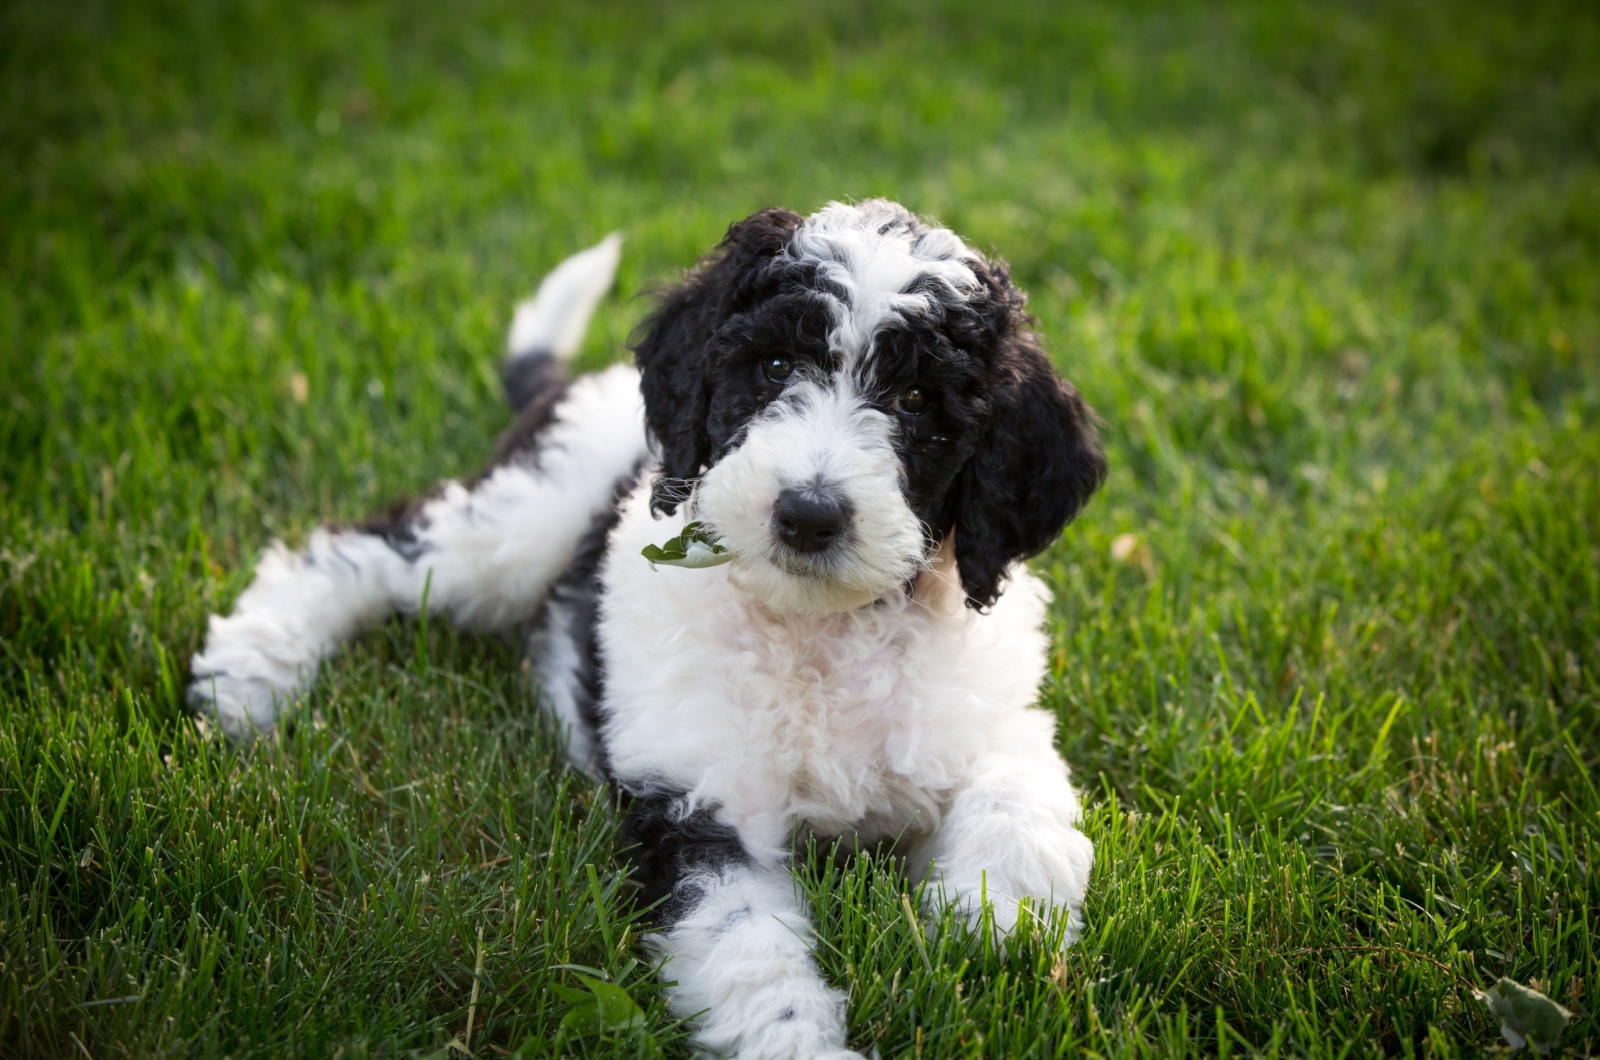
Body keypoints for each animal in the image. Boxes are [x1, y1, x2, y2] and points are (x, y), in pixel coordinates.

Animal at [190, 201, 1100, 1060]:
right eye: (775, 366)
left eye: (916, 402)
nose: (808, 515)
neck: (817, 629)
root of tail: (574, 385)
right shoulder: (697, 810)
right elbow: (748, 954)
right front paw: (801, 1045)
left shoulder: (989, 712)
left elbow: (1019, 793)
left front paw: (989, 923)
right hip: (519, 519)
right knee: (363, 550)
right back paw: (247, 674)